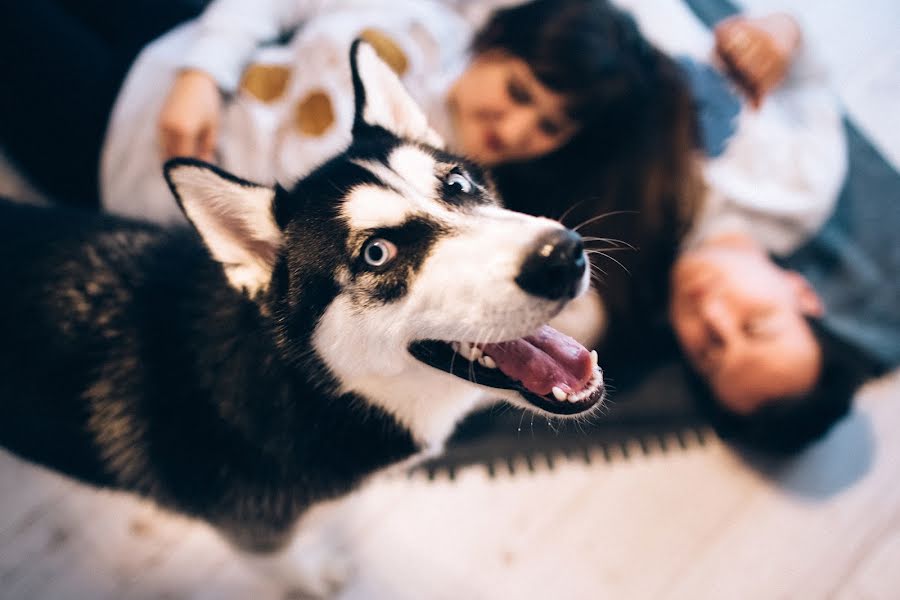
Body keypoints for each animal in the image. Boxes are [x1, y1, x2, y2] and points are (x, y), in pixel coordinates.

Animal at [1, 42, 604, 596]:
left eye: (456, 184)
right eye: (376, 254)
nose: (563, 256)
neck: (311, 387)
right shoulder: (256, 534)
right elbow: (291, 567)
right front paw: (317, 579)